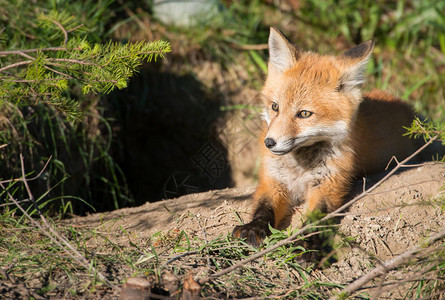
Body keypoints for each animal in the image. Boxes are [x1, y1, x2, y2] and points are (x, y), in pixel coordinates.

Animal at [232, 27, 438, 246]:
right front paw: (253, 228)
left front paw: (306, 245)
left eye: (304, 114)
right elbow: (264, 207)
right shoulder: (273, 181)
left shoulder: (330, 185)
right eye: (275, 107)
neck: (300, 168)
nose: (269, 143)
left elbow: (316, 219)